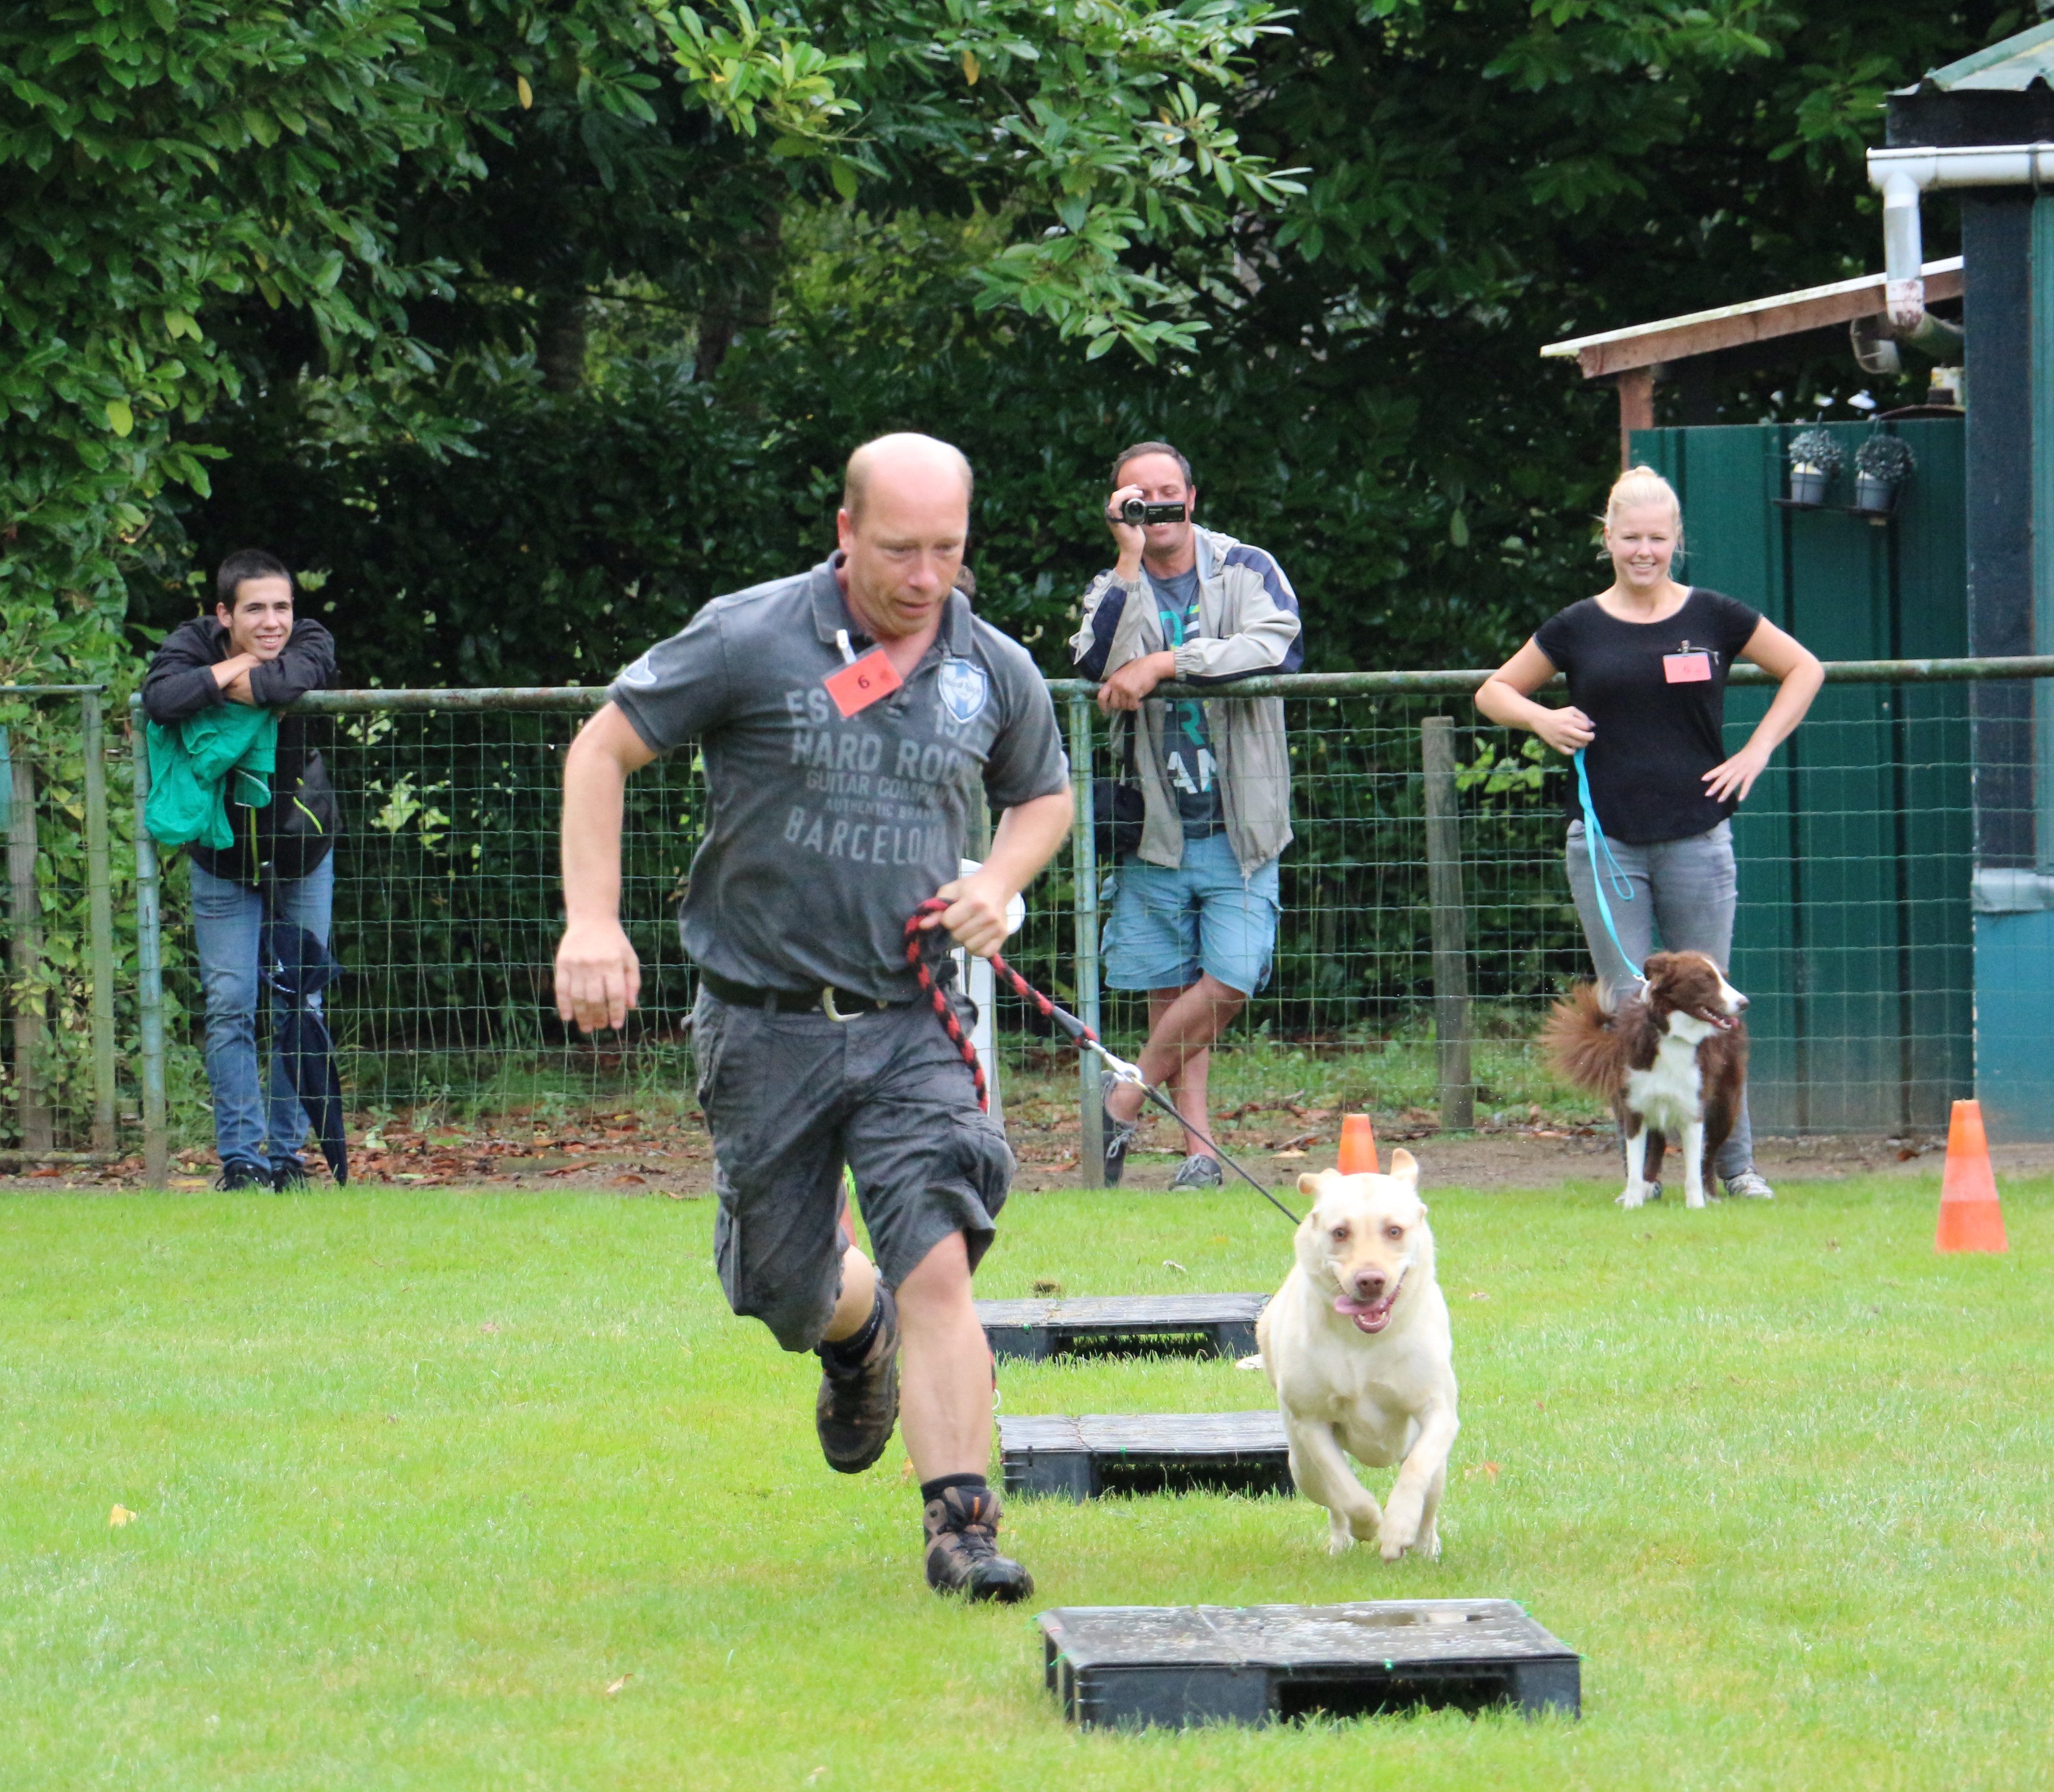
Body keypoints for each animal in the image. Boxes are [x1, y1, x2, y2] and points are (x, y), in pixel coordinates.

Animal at [1254, 1153, 1459, 1560]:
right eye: (1339, 1233)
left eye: (1394, 1231)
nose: (1370, 1280)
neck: (1363, 1341)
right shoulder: (1312, 1422)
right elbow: (1347, 1491)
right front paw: (1369, 1525)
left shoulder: (1440, 1411)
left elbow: (1417, 1468)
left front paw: (1397, 1528)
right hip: (1300, 1466)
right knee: (1332, 1500)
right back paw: (1341, 1541)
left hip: (1437, 1470)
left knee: (1429, 1500)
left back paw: (1426, 1545)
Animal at [1541, 950, 1749, 1210]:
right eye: (1705, 979)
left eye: (1725, 978)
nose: (1744, 1003)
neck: (1673, 1035)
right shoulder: (1634, 1109)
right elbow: (1635, 1166)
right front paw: (1632, 1205)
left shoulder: (1693, 1111)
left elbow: (1693, 1168)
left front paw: (1696, 1206)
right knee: (1657, 1150)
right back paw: (1649, 1188)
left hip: (1724, 1107)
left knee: (1709, 1157)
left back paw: (1710, 1195)